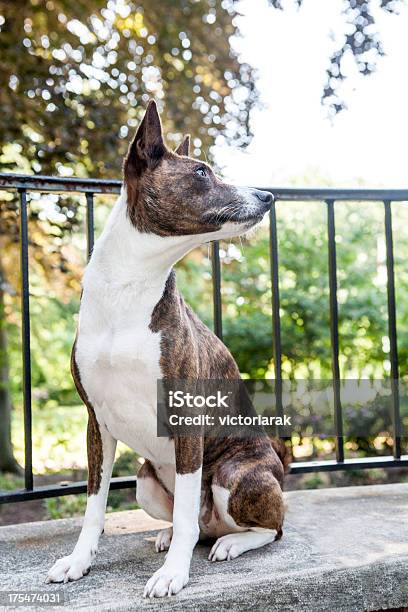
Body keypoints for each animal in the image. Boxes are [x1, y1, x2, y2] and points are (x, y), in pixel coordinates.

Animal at [46, 100, 288, 596]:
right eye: (200, 172)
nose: (268, 196)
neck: (130, 287)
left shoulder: (186, 417)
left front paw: (174, 573)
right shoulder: (96, 422)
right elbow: (93, 507)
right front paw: (79, 561)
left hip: (235, 476)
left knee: (265, 528)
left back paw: (230, 543)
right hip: (144, 481)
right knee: (191, 522)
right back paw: (170, 533)